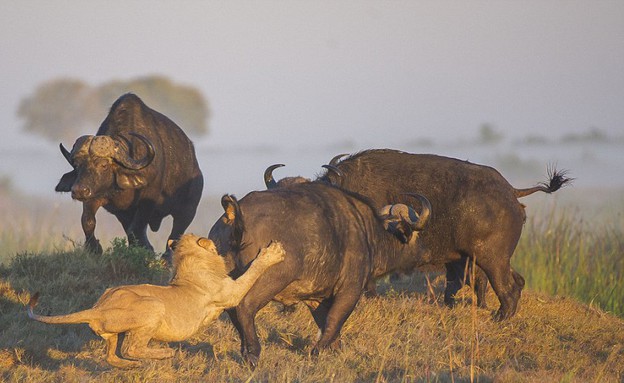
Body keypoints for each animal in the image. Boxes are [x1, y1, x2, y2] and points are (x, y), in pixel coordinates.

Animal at [54, 93, 204, 255]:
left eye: (104, 165)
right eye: (77, 165)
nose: (79, 190)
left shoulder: (148, 201)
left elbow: (135, 229)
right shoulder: (101, 199)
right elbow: (88, 222)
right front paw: (94, 248)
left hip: (188, 209)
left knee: (176, 233)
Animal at [207, 183, 432, 368]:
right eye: (415, 235)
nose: (425, 253)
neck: (367, 231)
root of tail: (236, 213)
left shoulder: (315, 299)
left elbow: (325, 322)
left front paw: (335, 349)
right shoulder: (351, 289)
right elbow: (335, 319)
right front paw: (318, 350)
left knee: (233, 310)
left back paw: (244, 350)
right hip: (270, 279)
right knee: (244, 307)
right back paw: (253, 353)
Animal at [312, 150, 572, 320]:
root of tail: (511, 192)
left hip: (492, 260)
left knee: (508, 288)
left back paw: (500, 317)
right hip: (489, 260)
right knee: (513, 281)